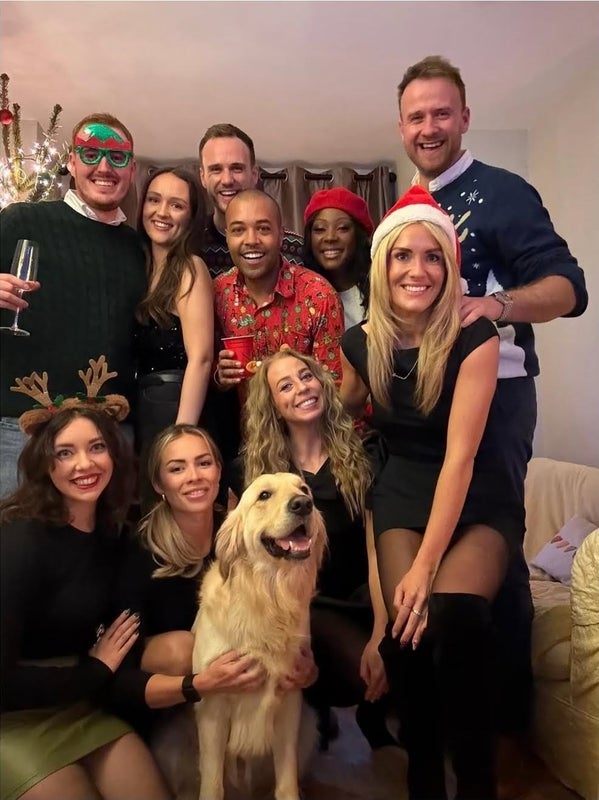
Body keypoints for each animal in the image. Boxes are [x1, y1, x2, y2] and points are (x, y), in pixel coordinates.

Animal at [192, 472, 326, 800]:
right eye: (264, 495)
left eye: (304, 489)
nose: (303, 504)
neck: (267, 596)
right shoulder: (213, 709)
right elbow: (213, 782)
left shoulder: (290, 702)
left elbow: (286, 780)